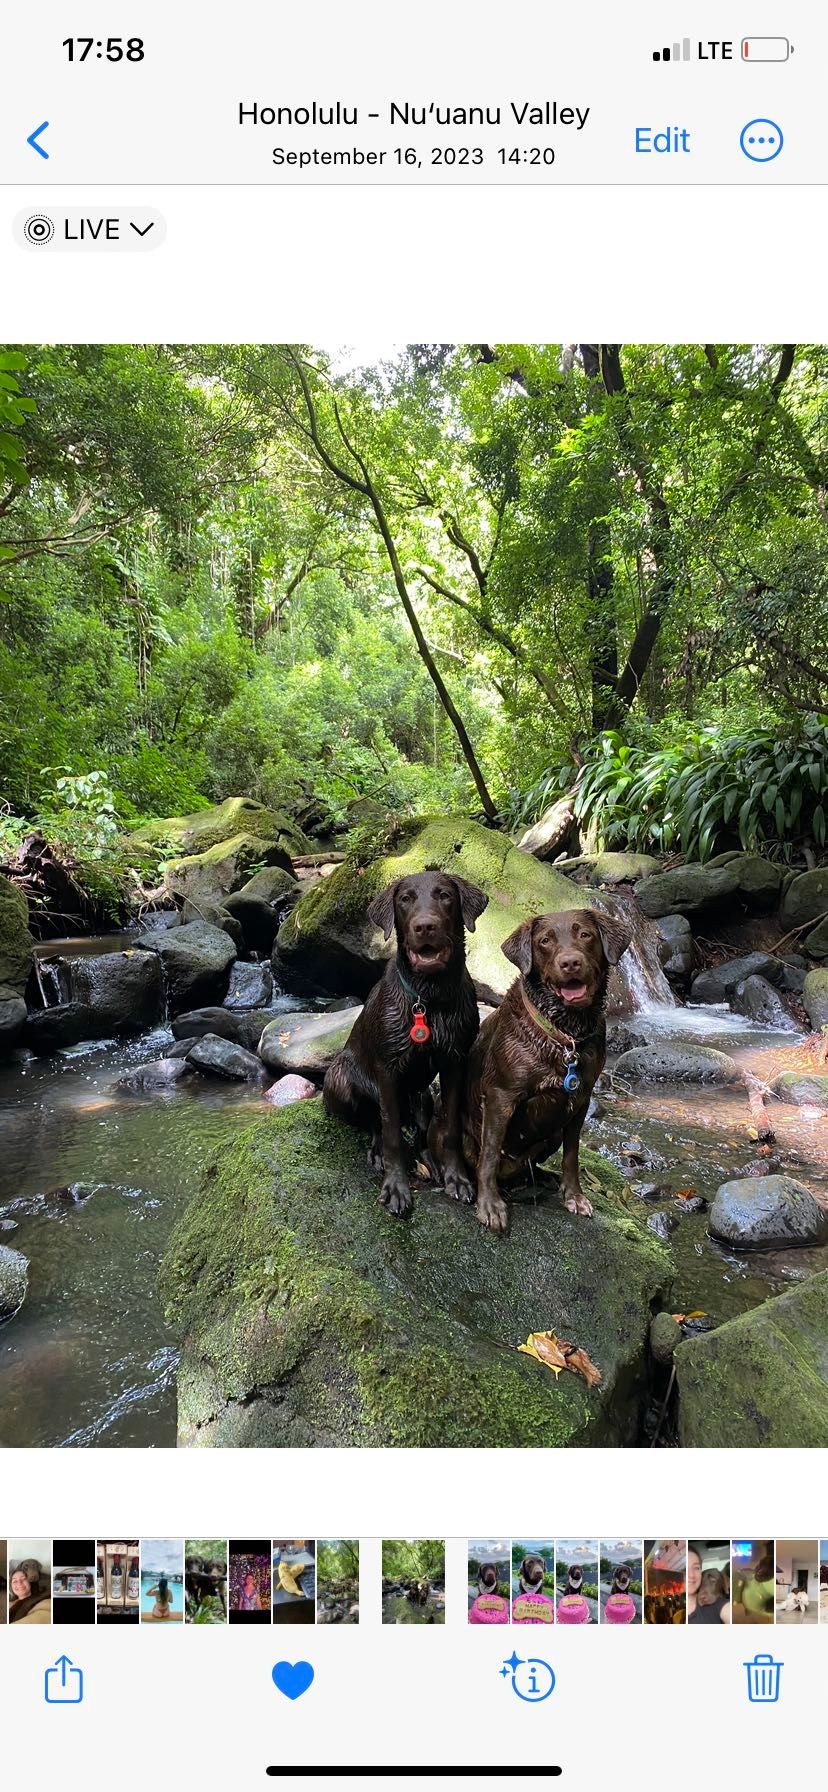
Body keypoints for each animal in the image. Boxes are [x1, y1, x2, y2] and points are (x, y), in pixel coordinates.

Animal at [323, 870, 488, 1217]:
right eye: (405, 899)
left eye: (444, 895)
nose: (425, 926)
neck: (430, 998)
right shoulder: (387, 1069)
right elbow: (391, 1133)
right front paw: (396, 1188)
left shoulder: (455, 1062)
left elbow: (450, 1127)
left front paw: (456, 1178)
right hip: (340, 1080)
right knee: (373, 1122)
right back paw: (377, 1153)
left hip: (423, 1095)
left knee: (421, 1130)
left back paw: (429, 1161)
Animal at [459, 906, 632, 1231]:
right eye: (545, 941)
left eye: (585, 935)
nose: (570, 962)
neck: (565, 1034)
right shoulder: (500, 1097)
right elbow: (489, 1155)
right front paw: (490, 1205)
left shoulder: (580, 1099)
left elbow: (572, 1155)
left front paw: (574, 1196)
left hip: (550, 1134)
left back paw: (543, 1178)